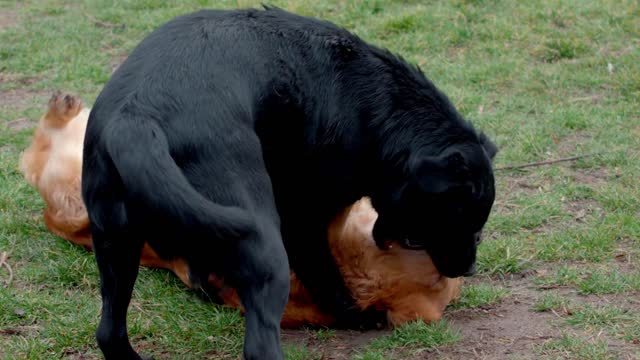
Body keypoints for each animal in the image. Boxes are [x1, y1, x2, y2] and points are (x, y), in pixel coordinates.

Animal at [82, 4, 498, 358]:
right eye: (471, 227)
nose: (468, 269)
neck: (376, 112)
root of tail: (138, 118)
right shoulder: (306, 220)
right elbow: (328, 279)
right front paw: (360, 317)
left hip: (116, 242)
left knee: (109, 332)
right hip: (261, 239)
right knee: (259, 344)